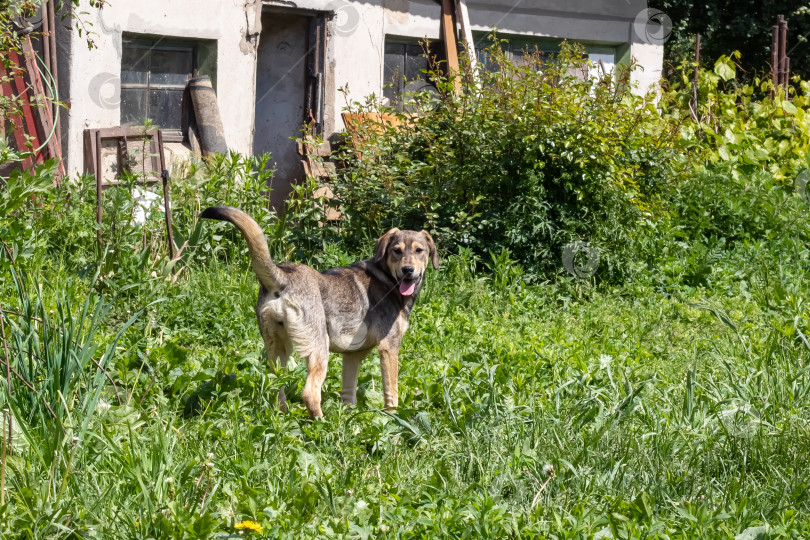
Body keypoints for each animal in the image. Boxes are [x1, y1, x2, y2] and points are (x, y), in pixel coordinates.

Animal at [200, 207, 438, 418]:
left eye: (419, 251)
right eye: (396, 251)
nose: (408, 270)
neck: (388, 278)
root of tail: (283, 276)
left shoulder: (352, 356)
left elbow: (348, 394)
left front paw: (350, 420)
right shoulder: (389, 348)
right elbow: (392, 392)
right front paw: (394, 420)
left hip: (278, 351)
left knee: (276, 387)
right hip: (319, 349)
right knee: (310, 393)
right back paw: (323, 425)